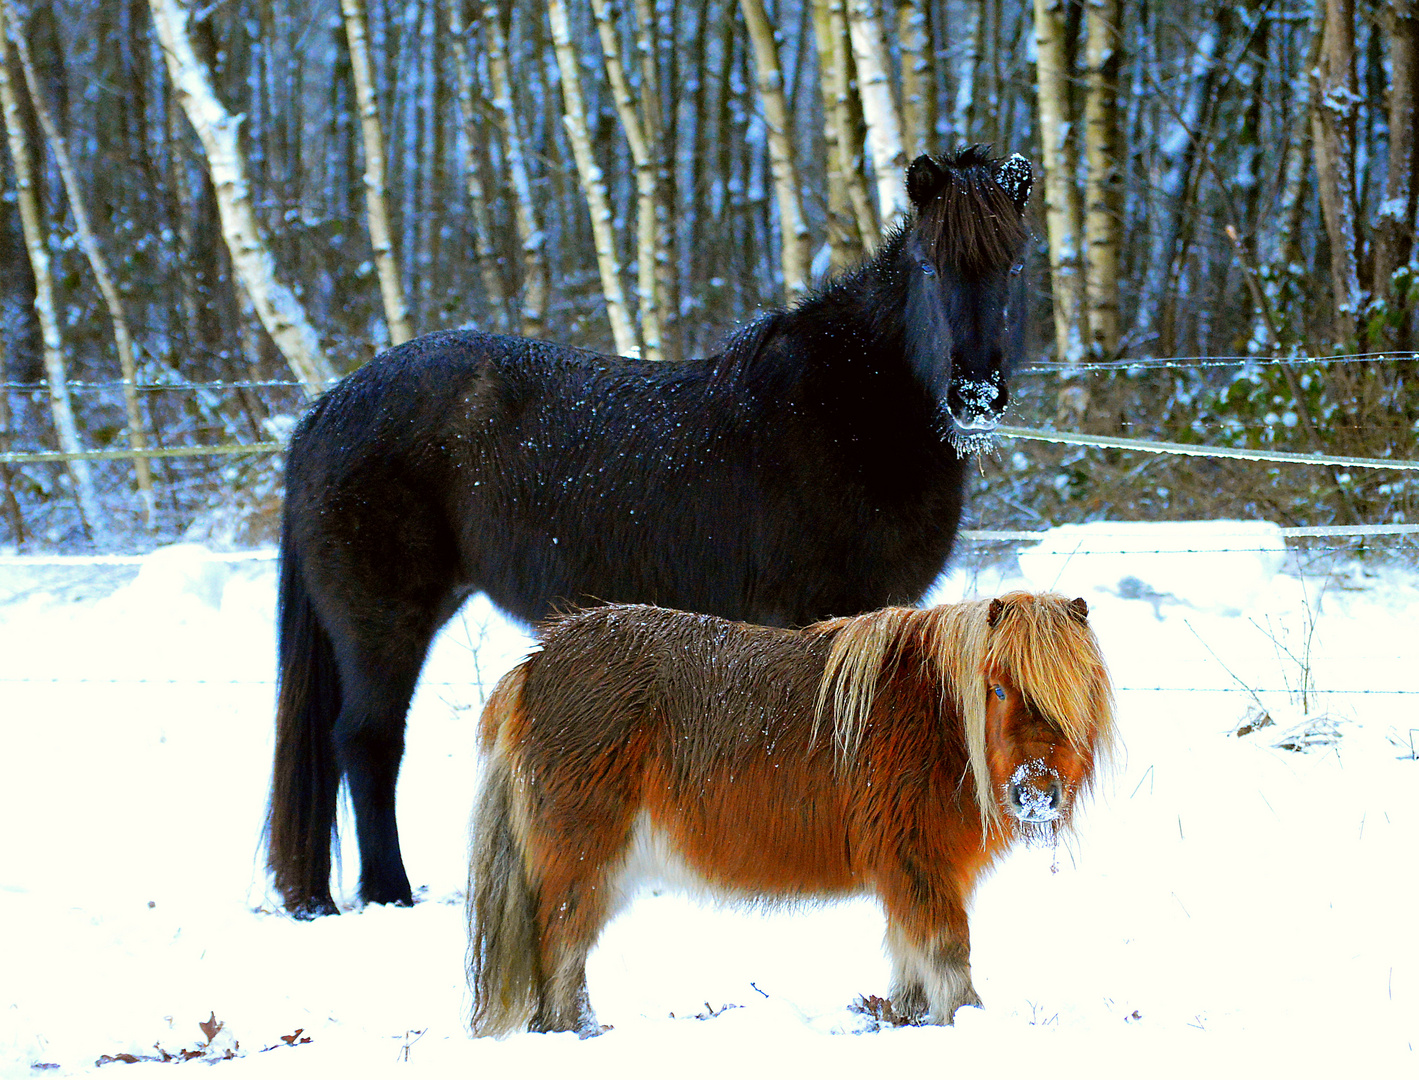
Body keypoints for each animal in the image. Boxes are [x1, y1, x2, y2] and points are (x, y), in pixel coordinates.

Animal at [271, 147, 1038, 913]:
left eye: (1014, 265)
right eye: (931, 265)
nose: (974, 394)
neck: (848, 412)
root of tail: (328, 408)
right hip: (382, 622)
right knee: (368, 741)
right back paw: (387, 893)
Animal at [471, 593, 1112, 1033]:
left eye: (1079, 693)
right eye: (998, 690)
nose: (1037, 794)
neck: (938, 720)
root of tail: (535, 666)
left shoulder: (912, 871)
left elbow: (909, 952)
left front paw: (905, 1018)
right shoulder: (917, 862)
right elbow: (947, 949)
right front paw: (965, 1018)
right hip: (583, 859)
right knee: (561, 945)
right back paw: (577, 1031)